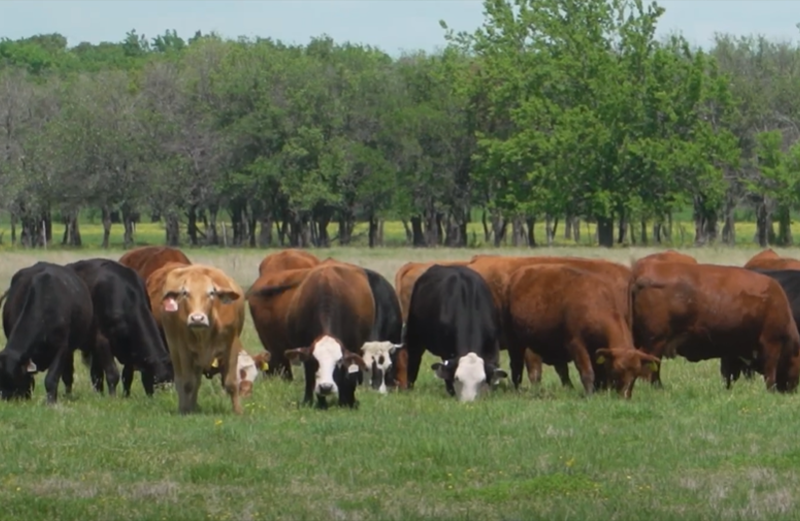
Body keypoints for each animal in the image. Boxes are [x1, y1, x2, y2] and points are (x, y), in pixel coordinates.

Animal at [66, 258, 173, 396]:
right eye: (156, 381)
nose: (164, 399)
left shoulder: (130, 348)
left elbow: (127, 375)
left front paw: (126, 396)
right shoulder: (102, 340)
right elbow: (113, 373)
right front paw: (113, 396)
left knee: (96, 373)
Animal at [148, 264, 245, 414]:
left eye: (211, 293)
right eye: (185, 293)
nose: (197, 318)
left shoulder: (231, 346)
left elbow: (231, 383)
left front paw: (238, 411)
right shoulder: (184, 349)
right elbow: (188, 383)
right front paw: (186, 410)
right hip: (174, 349)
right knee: (182, 381)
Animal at [506, 264, 656, 398]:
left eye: (636, 374)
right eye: (617, 370)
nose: (625, 396)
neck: (595, 305)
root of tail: (519, 273)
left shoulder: (596, 351)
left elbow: (598, 373)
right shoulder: (576, 345)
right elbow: (587, 372)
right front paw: (590, 394)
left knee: (560, 370)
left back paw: (568, 388)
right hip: (520, 344)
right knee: (525, 368)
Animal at [632, 260, 800, 390]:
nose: (791, 389)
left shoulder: (732, 352)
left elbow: (729, 375)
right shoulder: (772, 343)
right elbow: (770, 372)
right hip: (656, 342)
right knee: (651, 366)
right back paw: (658, 388)